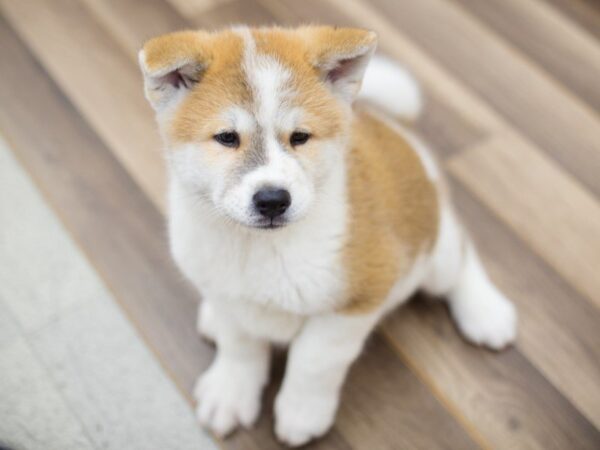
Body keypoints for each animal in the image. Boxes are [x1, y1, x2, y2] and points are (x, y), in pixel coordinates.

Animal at [138, 27, 516, 446]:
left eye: (300, 137)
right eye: (226, 138)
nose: (273, 200)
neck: (259, 249)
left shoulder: (357, 300)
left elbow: (313, 360)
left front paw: (302, 411)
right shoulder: (225, 295)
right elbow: (239, 345)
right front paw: (232, 391)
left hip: (435, 255)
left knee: (461, 252)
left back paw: (485, 311)